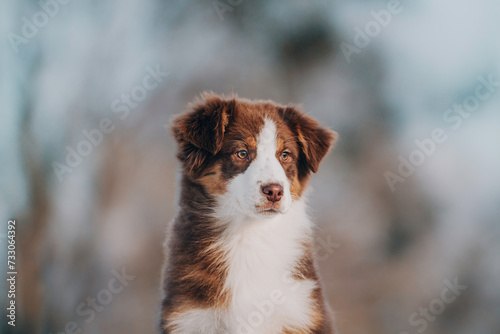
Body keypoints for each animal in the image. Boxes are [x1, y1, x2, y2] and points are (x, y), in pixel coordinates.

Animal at [162, 92, 338, 332]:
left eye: (285, 155)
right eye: (242, 153)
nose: (274, 191)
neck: (248, 233)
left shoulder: (303, 313)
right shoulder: (189, 318)